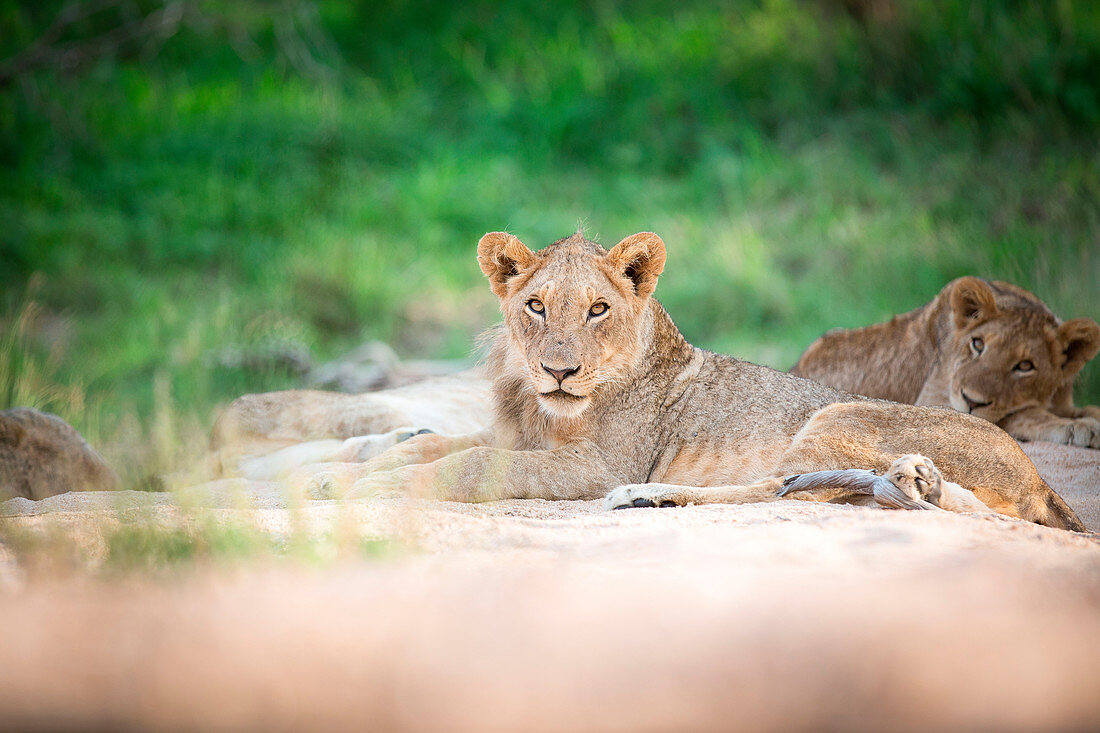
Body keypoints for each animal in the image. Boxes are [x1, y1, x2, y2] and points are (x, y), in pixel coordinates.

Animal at [792, 275, 1100, 442]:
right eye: (978, 344)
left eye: (1025, 366)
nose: (971, 401)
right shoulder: (931, 401)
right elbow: (1019, 414)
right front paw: (1080, 428)